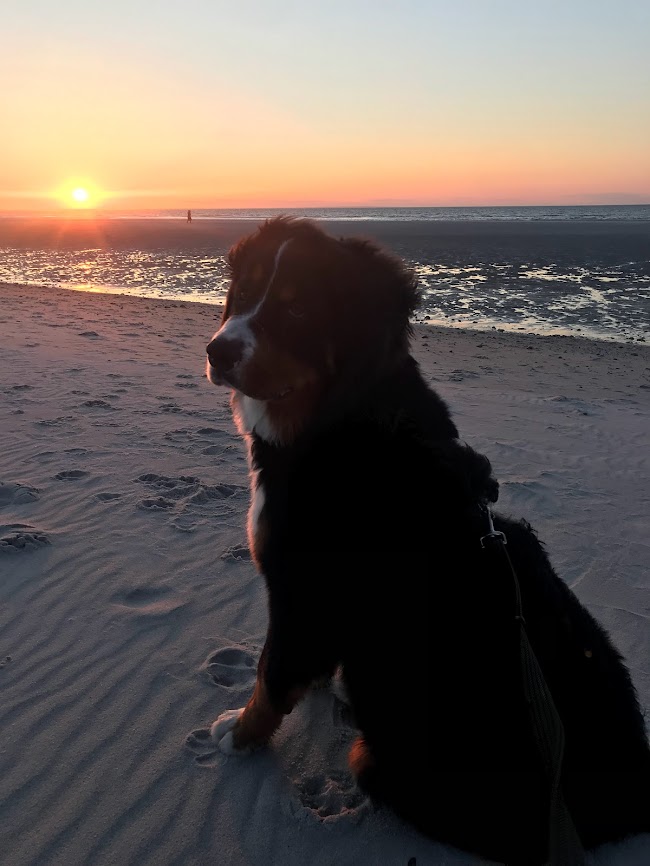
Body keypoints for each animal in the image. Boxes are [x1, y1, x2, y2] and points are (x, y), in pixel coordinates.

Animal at [204, 218, 648, 864]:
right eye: (242, 292)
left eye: (298, 309)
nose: (218, 350)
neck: (338, 421)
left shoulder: (302, 592)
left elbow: (271, 674)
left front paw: (238, 735)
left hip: (383, 759)